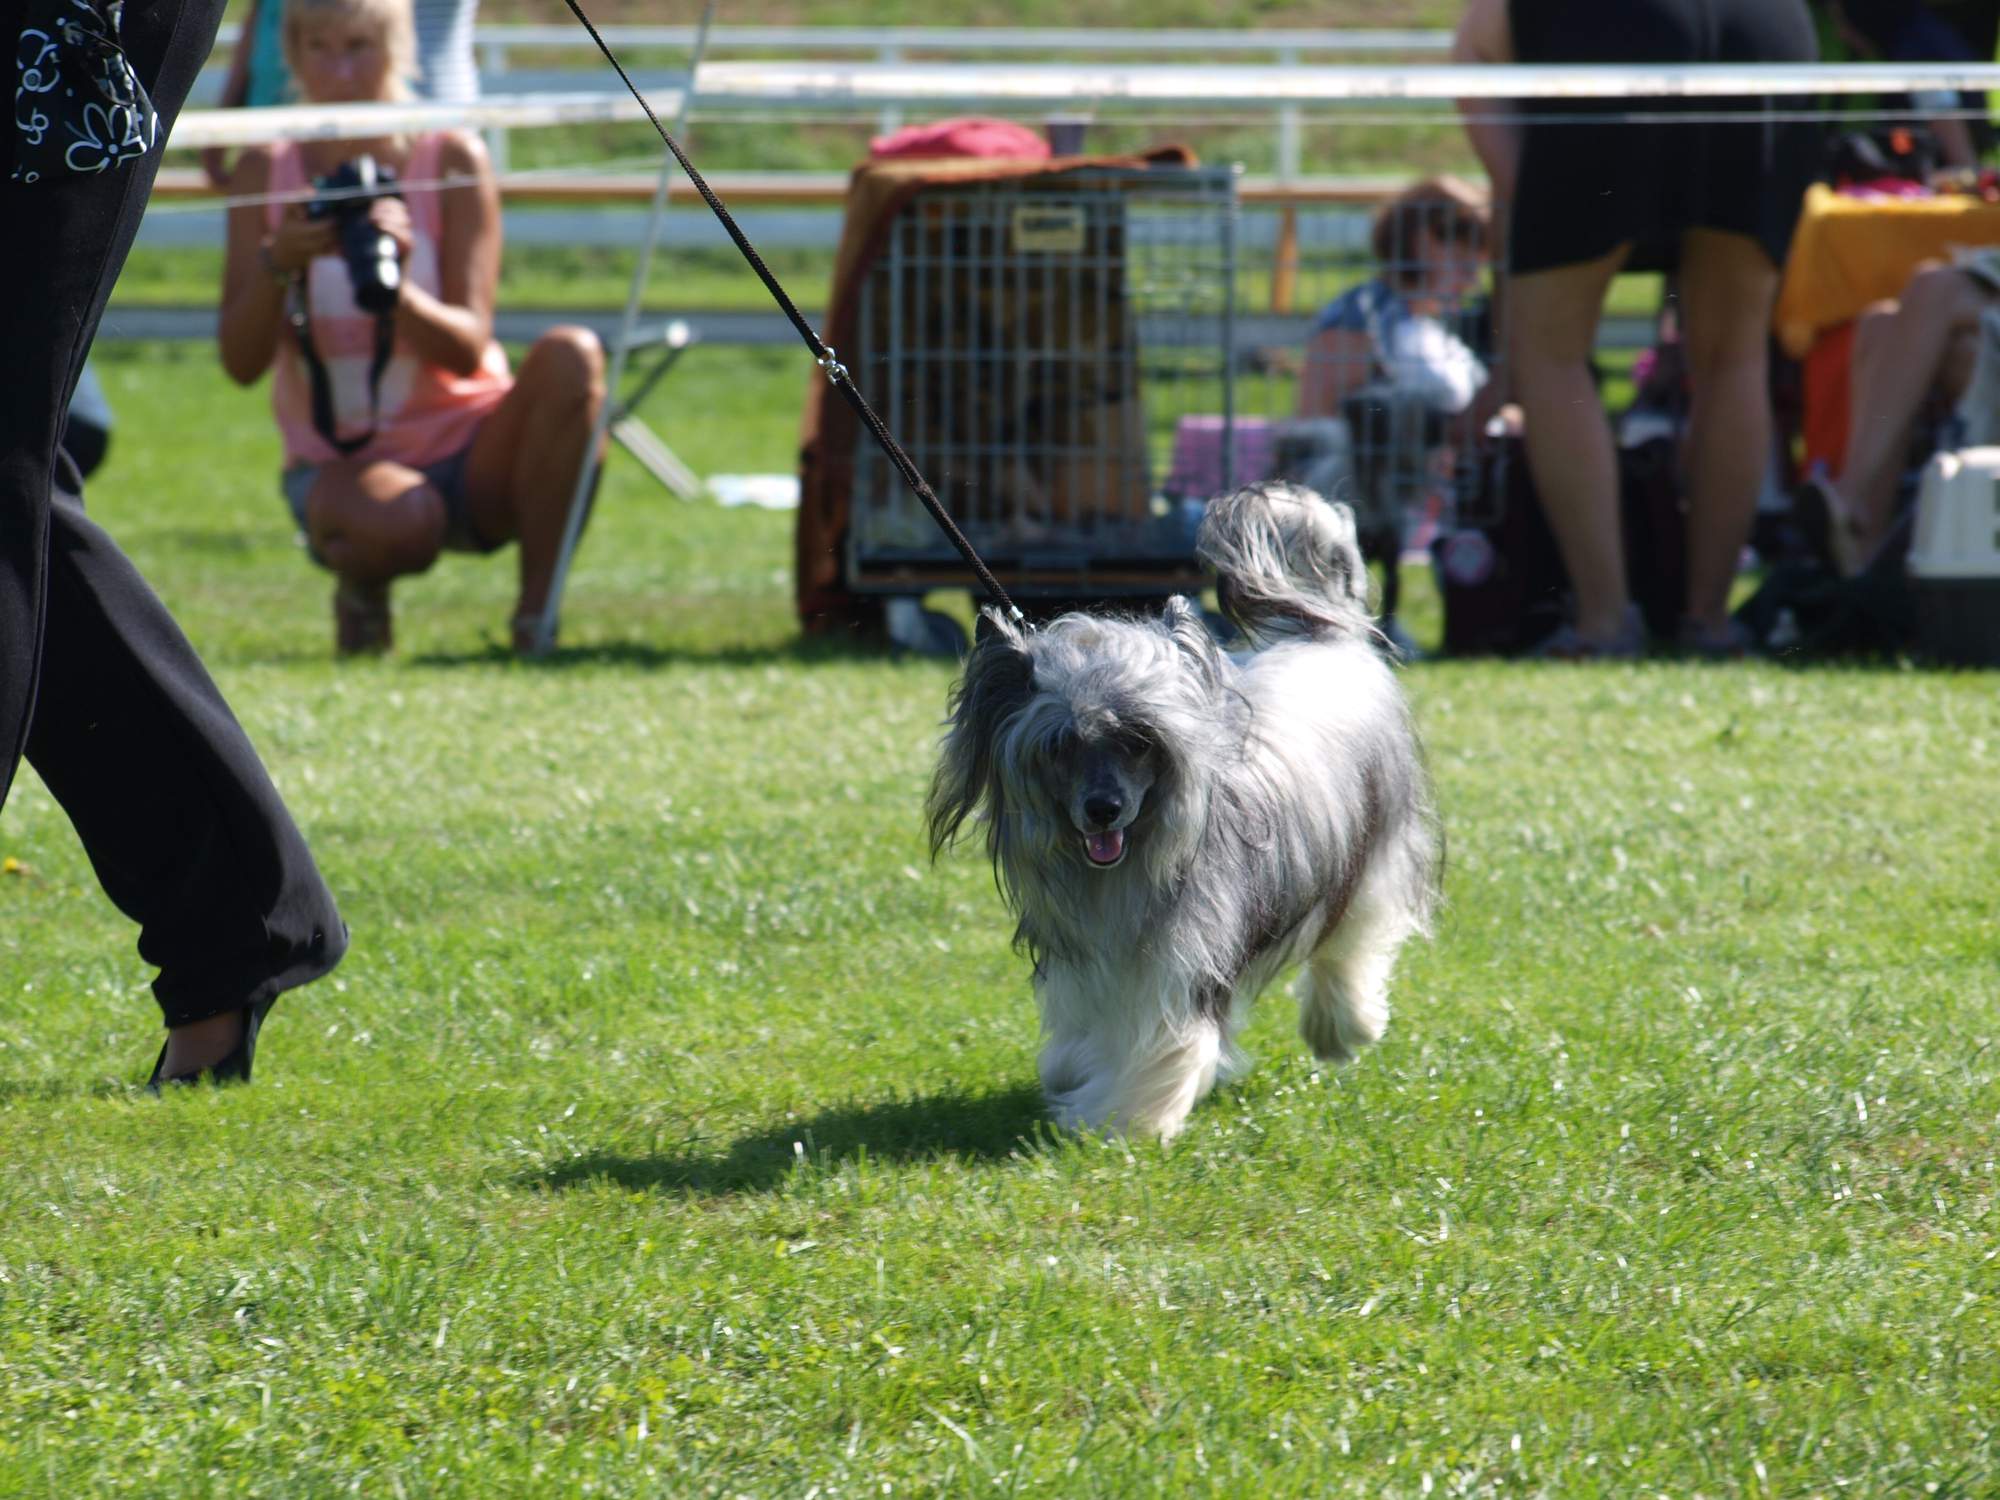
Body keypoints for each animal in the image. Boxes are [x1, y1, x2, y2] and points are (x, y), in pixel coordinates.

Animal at [920, 488, 1440, 1144]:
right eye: (1060, 745)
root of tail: (1325, 638)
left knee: (1355, 940)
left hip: (1371, 854)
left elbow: (1162, 1047)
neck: (1123, 873)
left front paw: (1119, 1123)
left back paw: (1343, 1027)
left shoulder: (1178, 966)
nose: (1103, 810)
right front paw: (1075, 1078)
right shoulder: (1087, 967)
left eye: (1140, 740)